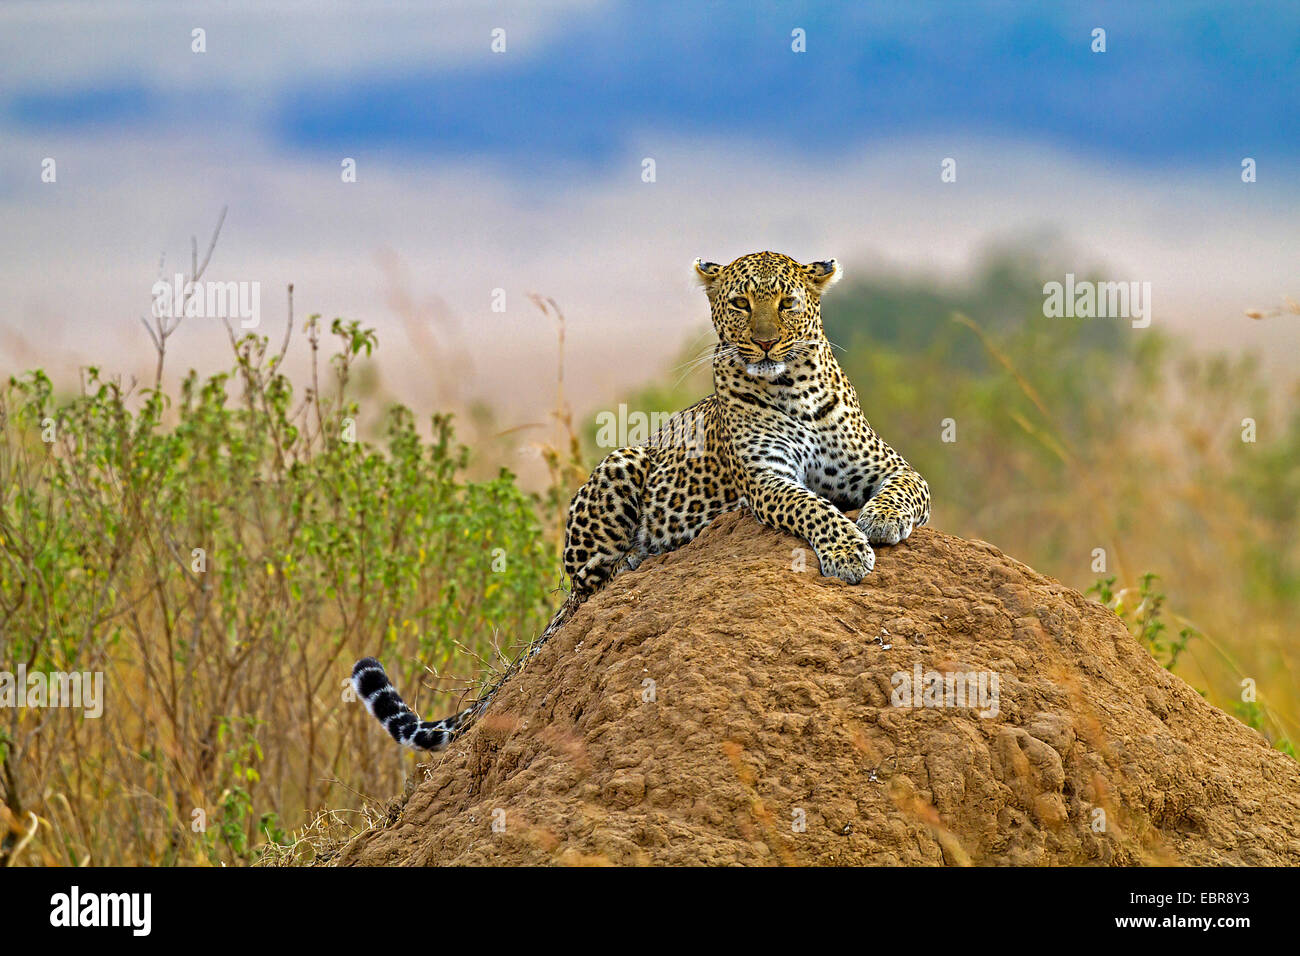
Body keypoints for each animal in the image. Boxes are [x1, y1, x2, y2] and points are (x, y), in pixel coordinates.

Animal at [351, 252, 930, 754]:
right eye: (741, 303)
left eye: (787, 302)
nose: (765, 345)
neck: (792, 389)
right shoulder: (767, 481)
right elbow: (813, 507)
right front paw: (847, 552)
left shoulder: (886, 463)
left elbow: (909, 488)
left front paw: (880, 521)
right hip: (623, 460)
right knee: (590, 580)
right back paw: (634, 560)